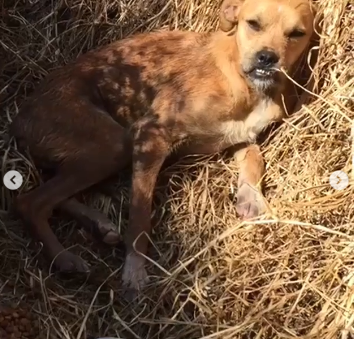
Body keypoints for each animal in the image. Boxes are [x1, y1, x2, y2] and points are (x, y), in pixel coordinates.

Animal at [9, 0, 316, 298]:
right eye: (253, 24)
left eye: (296, 33)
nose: (267, 58)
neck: (243, 81)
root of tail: (20, 119)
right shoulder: (151, 136)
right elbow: (140, 213)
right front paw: (134, 271)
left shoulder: (237, 137)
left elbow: (255, 158)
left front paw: (250, 198)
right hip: (112, 144)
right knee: (30, 202)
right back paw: (64, 258)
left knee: (52, 192)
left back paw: (99, 225)